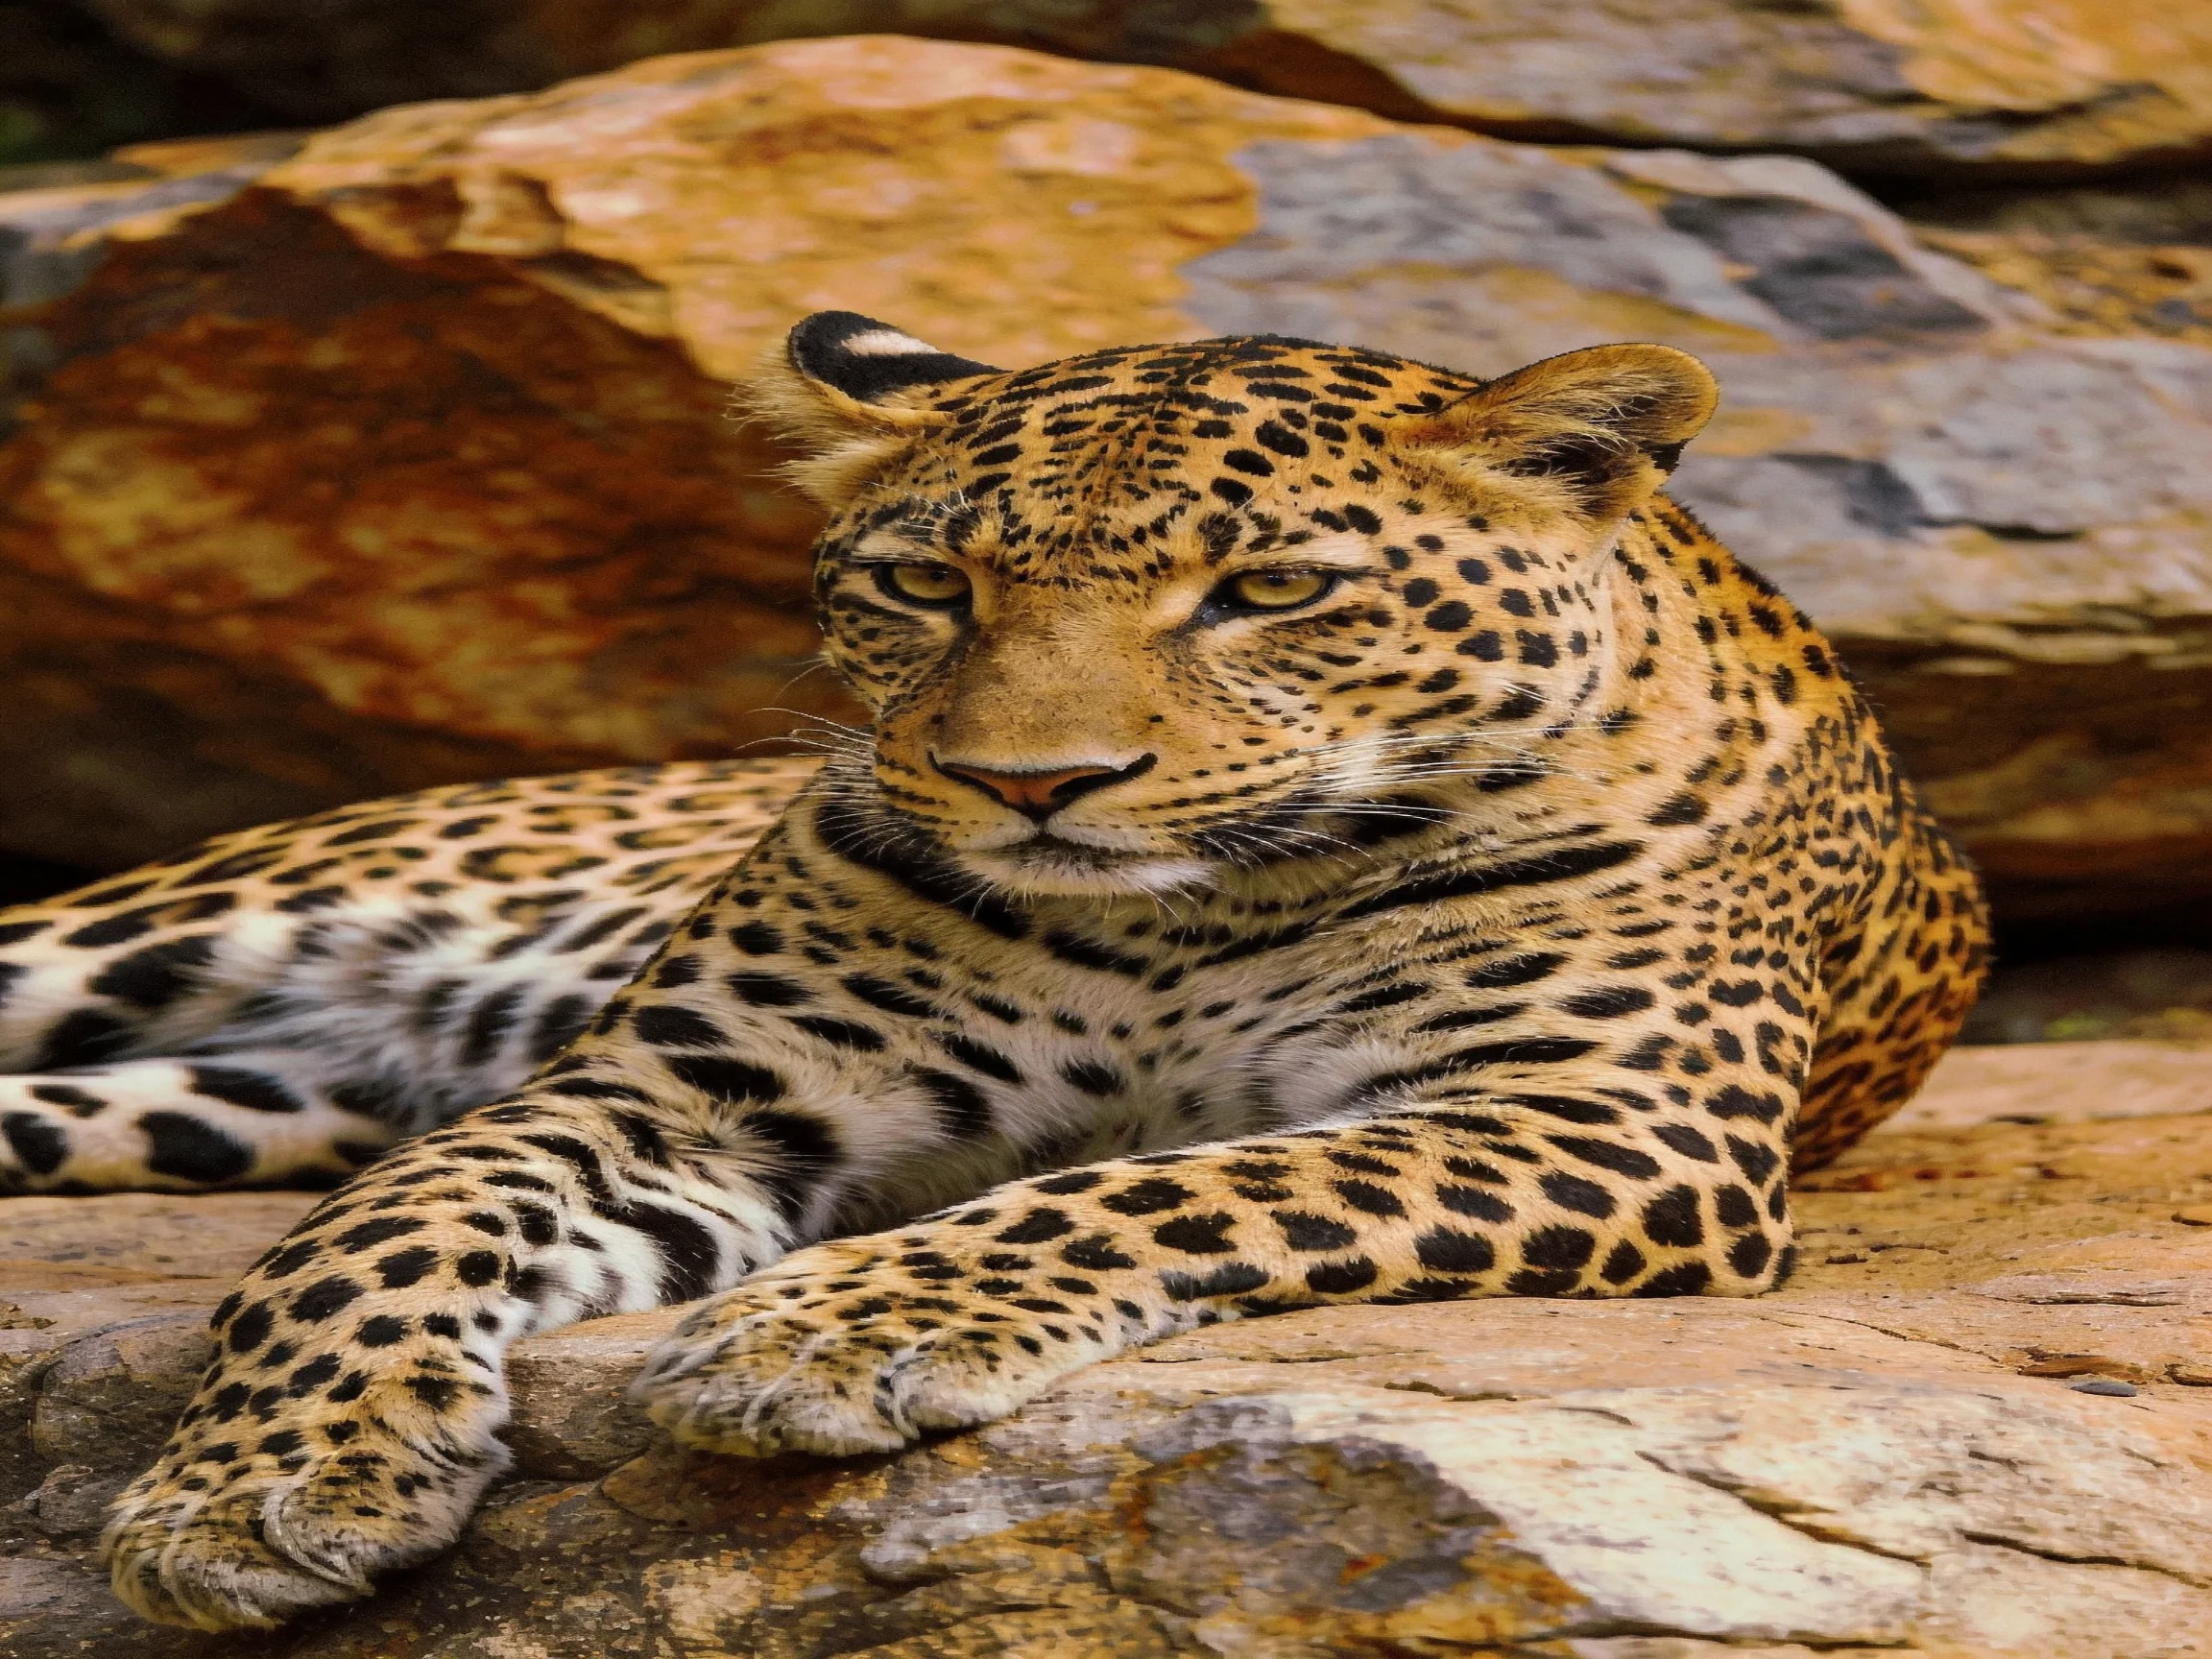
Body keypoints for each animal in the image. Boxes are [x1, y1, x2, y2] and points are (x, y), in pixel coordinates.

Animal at [0, 312, 1990, 1628]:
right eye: (924, 583)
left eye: (1268, 591)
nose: (1033, 783)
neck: (1186, 913)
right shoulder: (675, 1086)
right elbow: (374, 1229)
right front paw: (260, 1479)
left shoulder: (1601, 1115)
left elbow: (1176, 1182)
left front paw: (825, 1329)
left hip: (223, 1097)